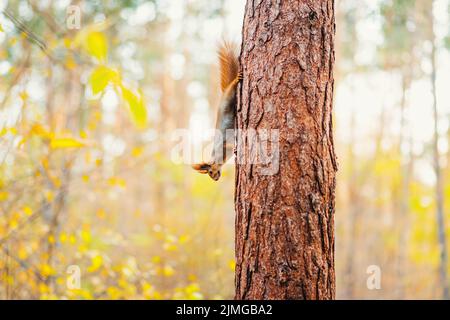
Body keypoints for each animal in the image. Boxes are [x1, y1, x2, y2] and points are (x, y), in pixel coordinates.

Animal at [191, 41, 241, 181]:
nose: (216, 179)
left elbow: (229, 145)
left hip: (229, 98)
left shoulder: (224, 146)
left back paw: (236, 80)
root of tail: (223, 94)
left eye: (210, 172)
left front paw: (236, 150)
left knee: (233, 87)